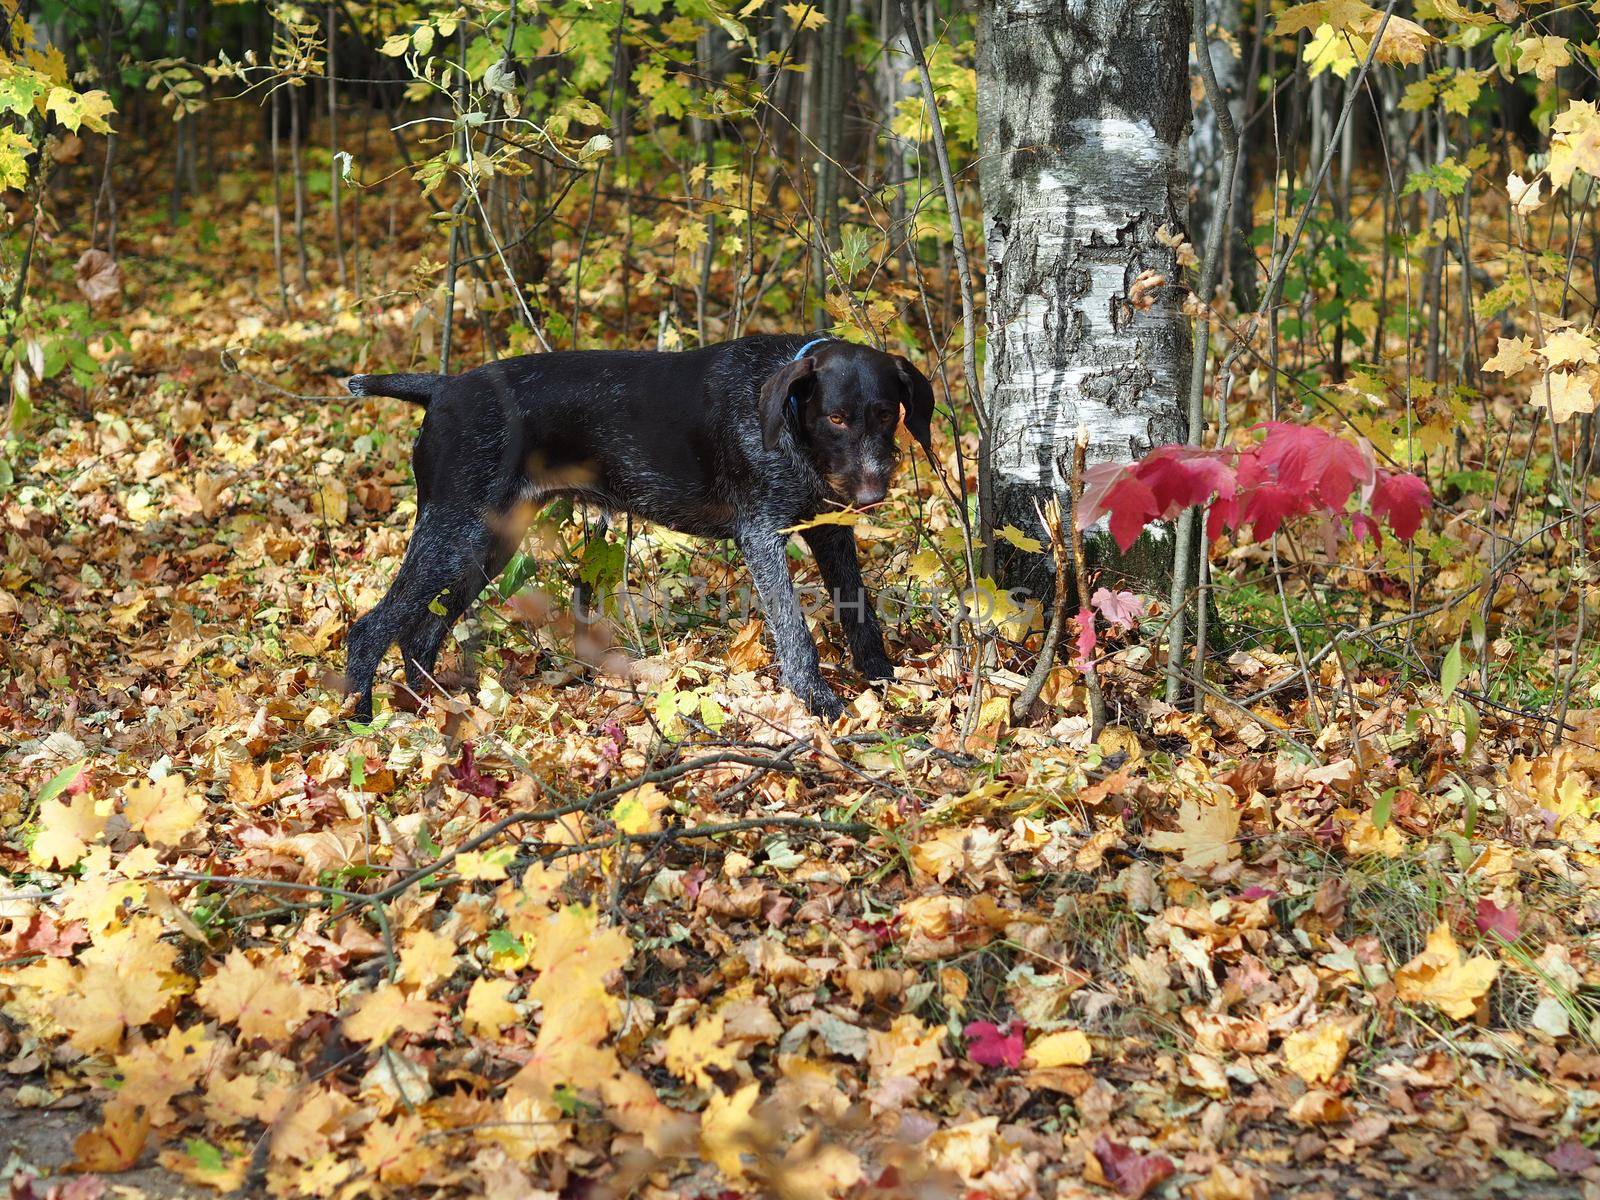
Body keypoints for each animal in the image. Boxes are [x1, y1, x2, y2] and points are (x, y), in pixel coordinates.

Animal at [344, 334, 934, 720]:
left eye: (887, 414)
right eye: (835, 418)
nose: (872, 494)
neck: (783, 417)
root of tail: (443, 389)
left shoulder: (830, 530)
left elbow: (859, 613)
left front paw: (883, 682)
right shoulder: (762, 534)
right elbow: (794, 632)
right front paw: (820, 703)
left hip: (485, 543)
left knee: (420, 635)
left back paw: (437, 712)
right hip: (454, 531)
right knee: (370, 627)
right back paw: (363, 722)